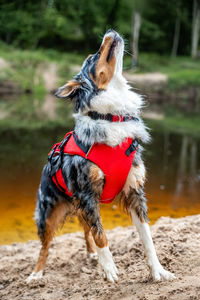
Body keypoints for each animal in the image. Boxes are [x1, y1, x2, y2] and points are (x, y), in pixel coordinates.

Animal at [26, 29, 175, 284]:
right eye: (93, 57)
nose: (110, 31)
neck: (110, 117)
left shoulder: (134, 191)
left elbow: (147, 237)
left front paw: (158, 270)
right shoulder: (86, 193)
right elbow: (102, 236)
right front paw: (110, 269)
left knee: (86, 230)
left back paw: (92, 255)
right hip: (48, 212)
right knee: (45, 246)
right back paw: (37, 273)